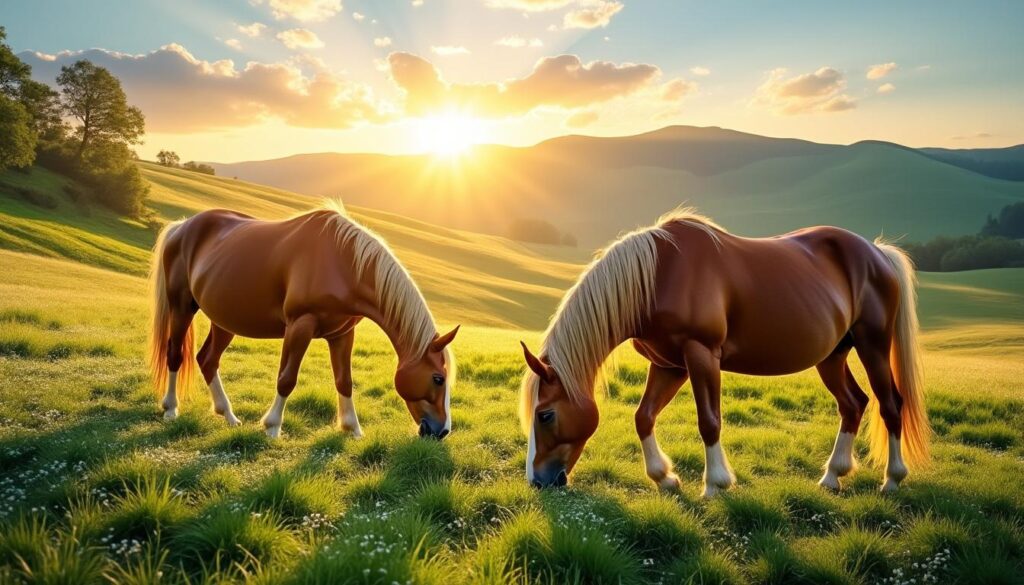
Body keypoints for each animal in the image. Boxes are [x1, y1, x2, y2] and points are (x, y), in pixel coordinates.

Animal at [148, 200, 459, 440]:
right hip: (182, 308)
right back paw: (171, 408)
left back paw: (229, 416)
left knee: (207, 360)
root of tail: (181, 227)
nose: (442, 431)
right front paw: (272, 427)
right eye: (438, 378)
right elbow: (286, 378)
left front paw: (353, 429)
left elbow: (344, 381)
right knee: (175, 354)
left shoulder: (342, 334)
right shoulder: (300, 326)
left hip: (224, 321)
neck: (343, 263)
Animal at [519, 209, 929, 496]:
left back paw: (892, 480)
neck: (658, 276)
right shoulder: (668, 364)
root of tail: (877, 252)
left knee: (890, 404)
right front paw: (664, 478)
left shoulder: (701, 355)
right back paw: (832, 476)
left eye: (545, 415)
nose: (537, 480)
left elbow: (709, 421)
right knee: (853, 404)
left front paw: (715, 483)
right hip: (832, 357)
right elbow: (644, 417)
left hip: (873, 346)